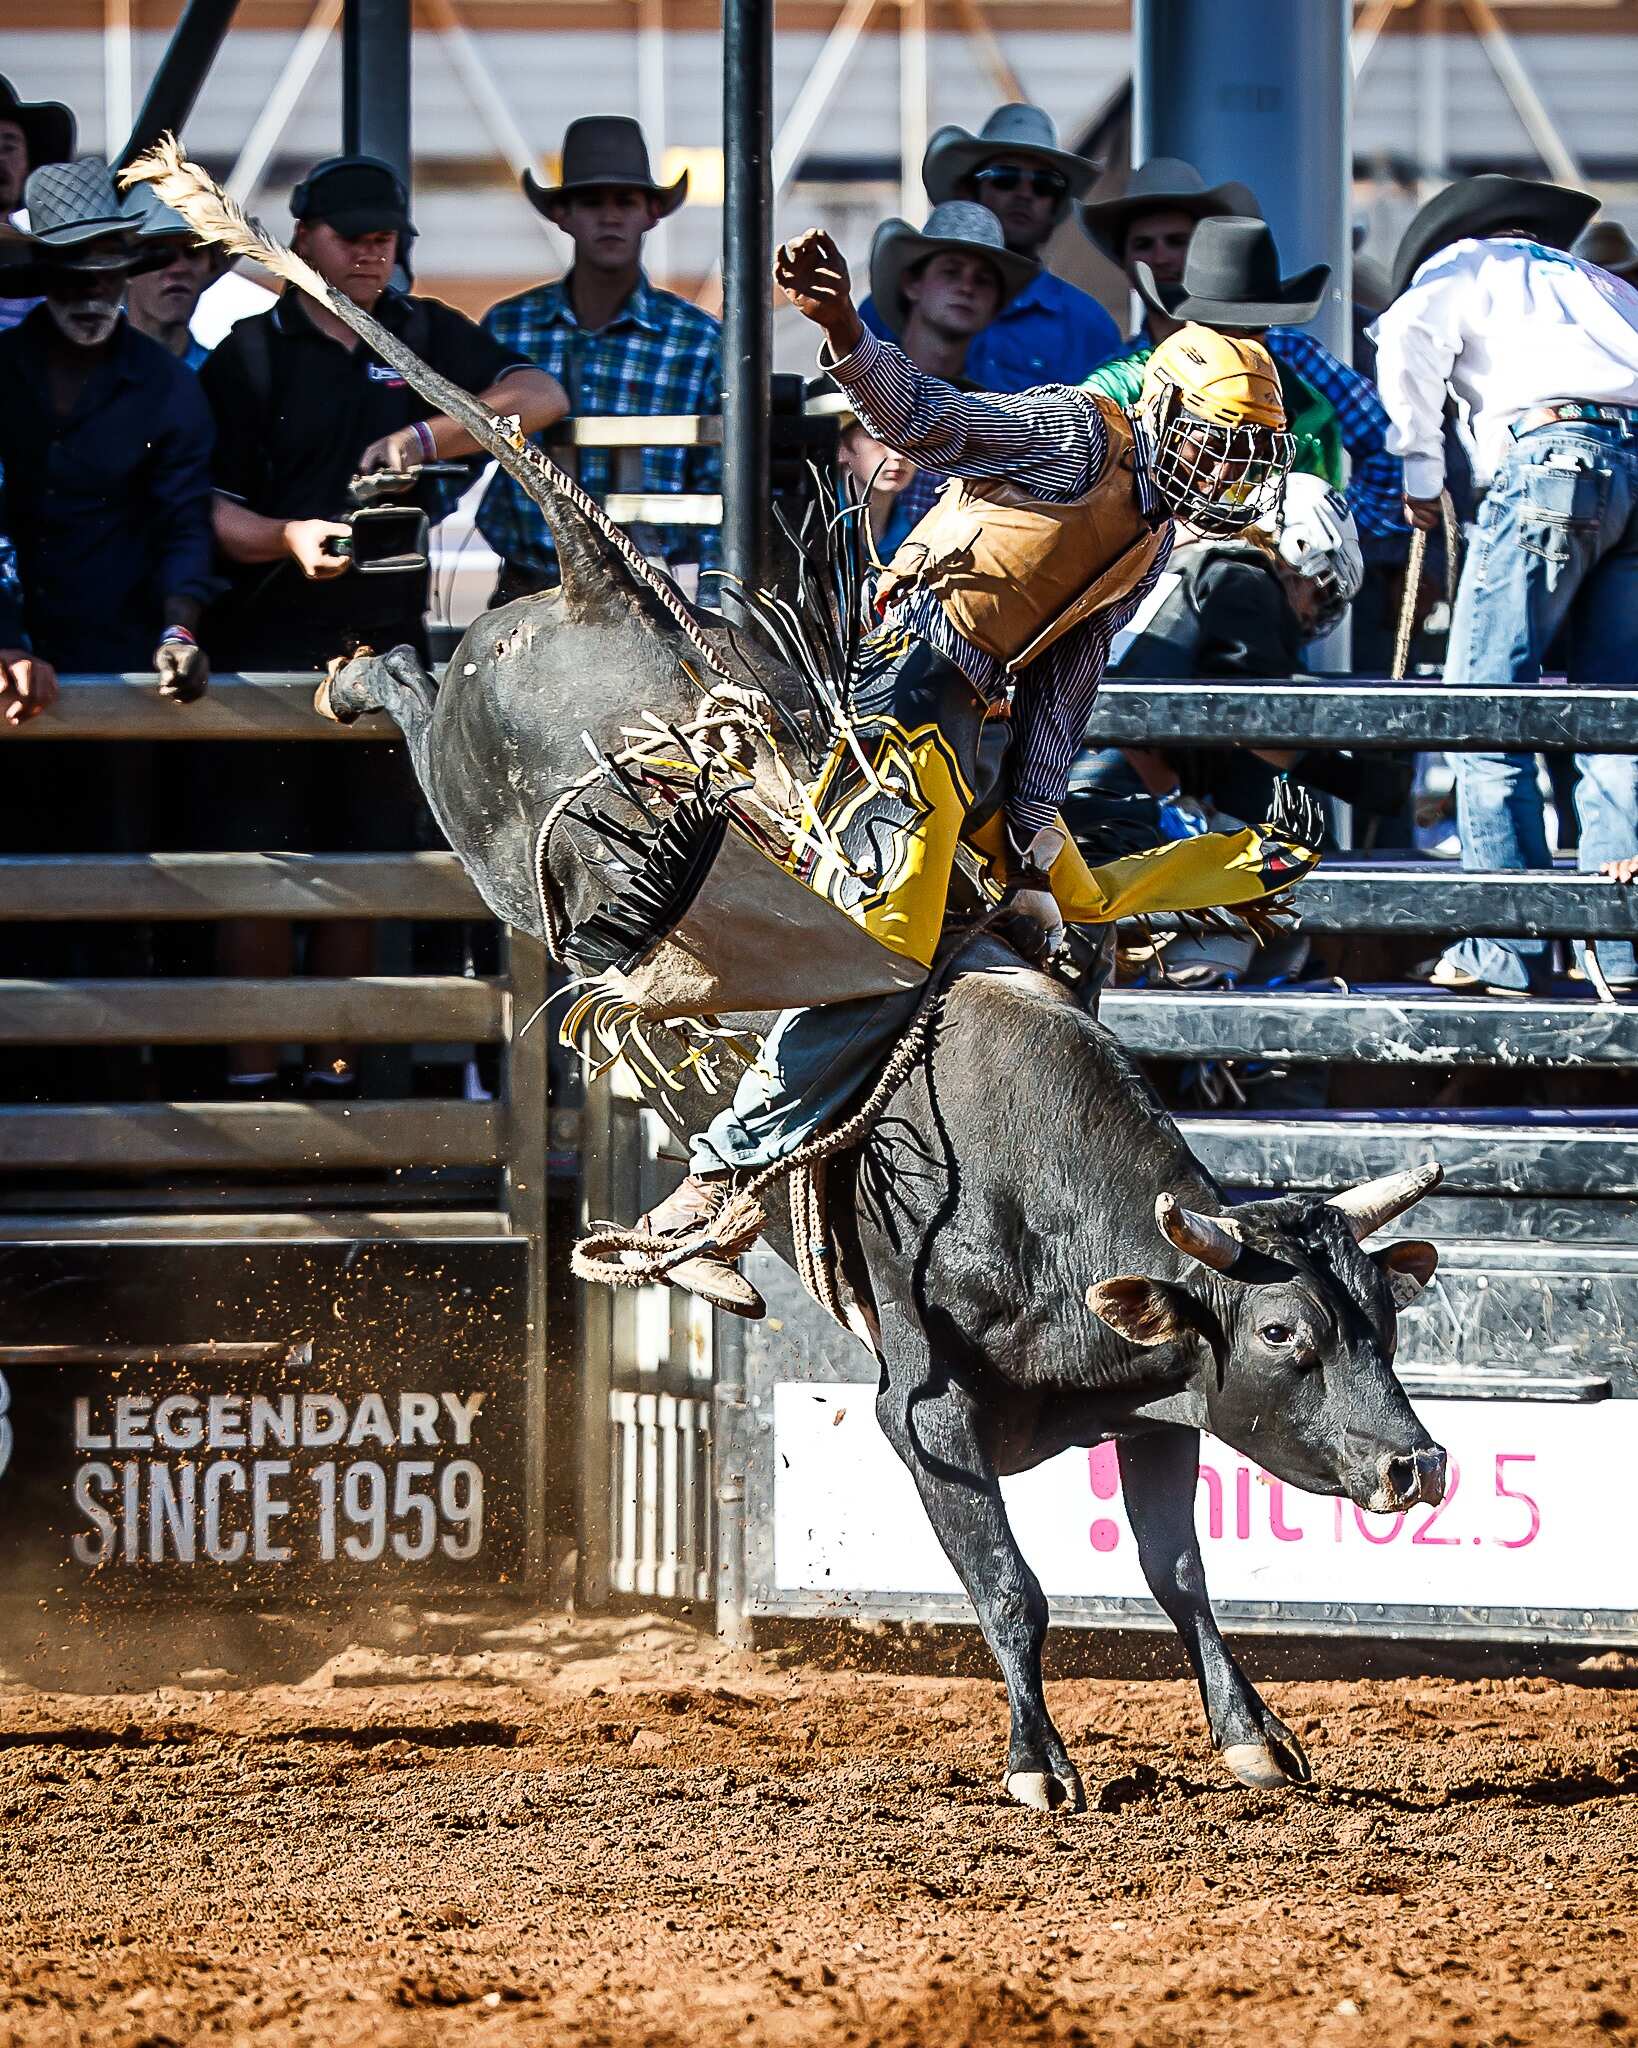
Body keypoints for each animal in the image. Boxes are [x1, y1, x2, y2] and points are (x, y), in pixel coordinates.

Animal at [134, 140, 1449, 1810]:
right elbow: (1013, 1588)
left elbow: (1180, 1575)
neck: (1036, 1190)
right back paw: (355, 670)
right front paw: (1037, 1768)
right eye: (1286, 1334)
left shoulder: (1152, 1403)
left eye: (1384, 1322)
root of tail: (609, 583)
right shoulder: (920, 1413)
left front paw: (1252, 1737)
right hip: (482, 820)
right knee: (418, 696)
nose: (1416, 1463)